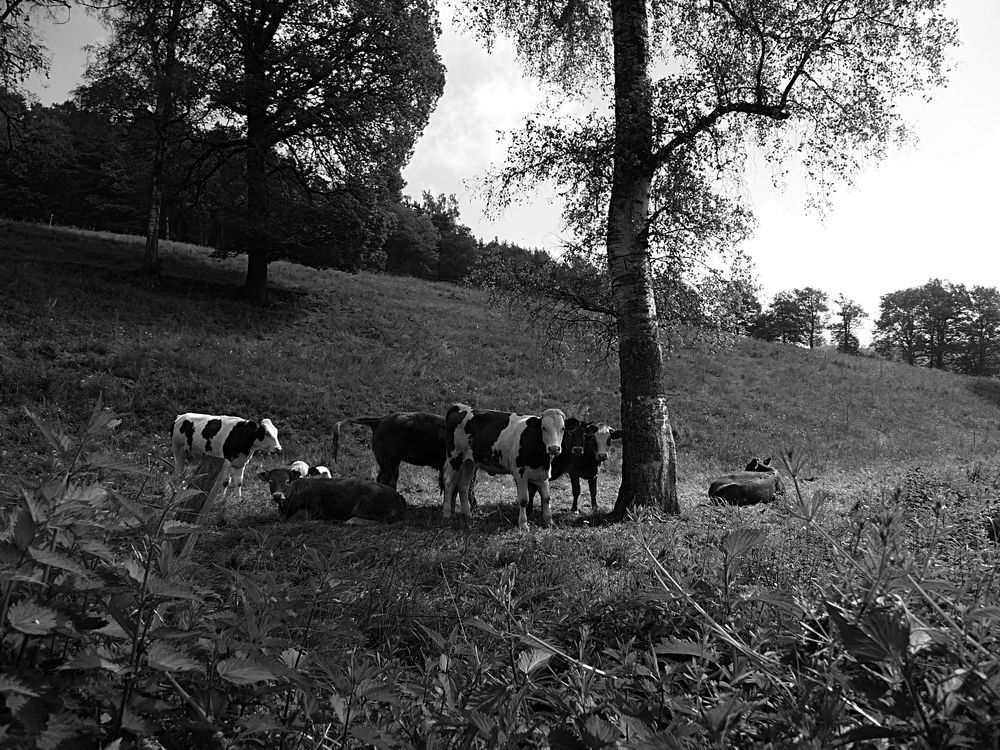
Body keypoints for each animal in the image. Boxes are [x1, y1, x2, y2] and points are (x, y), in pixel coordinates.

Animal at [256, 470, 408, 524]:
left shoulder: (315, 509)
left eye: (288, 481)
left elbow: (294, 519)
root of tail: (398, 495)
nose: (277, 495)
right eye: (270, 481)